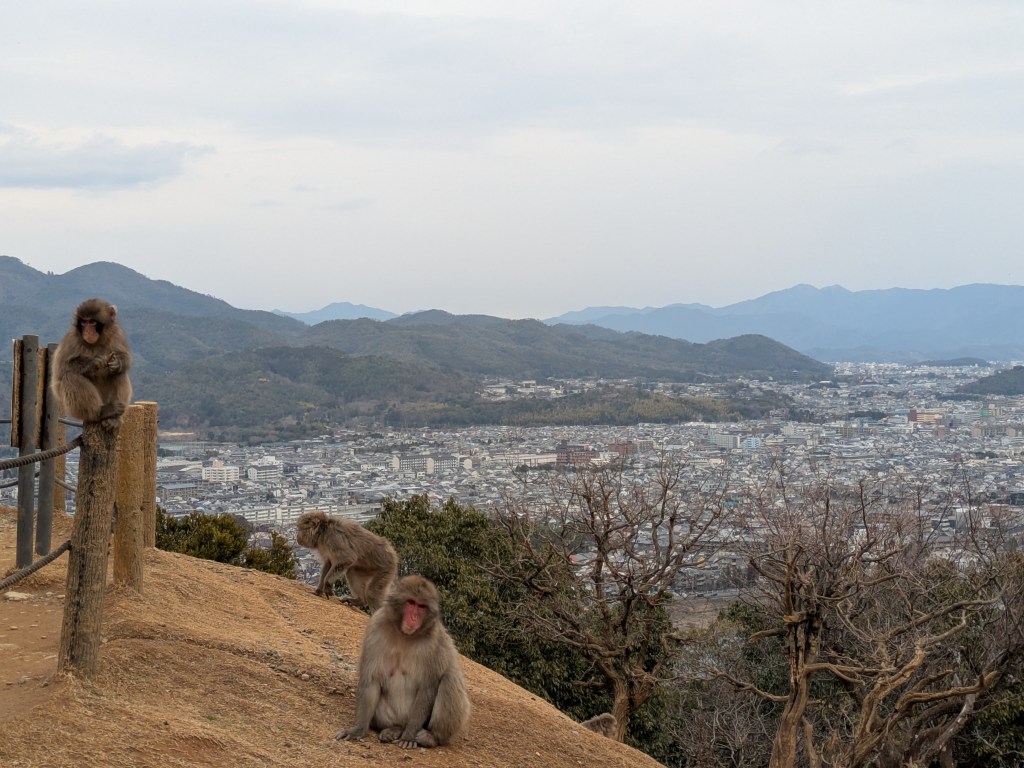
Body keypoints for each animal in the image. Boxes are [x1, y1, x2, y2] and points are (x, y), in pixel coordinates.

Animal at [50, 298, 133, 431]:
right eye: (84, 322)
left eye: (92, 322)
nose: (88, 331)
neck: (96, 342)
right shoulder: (71, 339)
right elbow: (60, 371)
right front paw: (93, 362)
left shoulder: (117, 334)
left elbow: (124, 356)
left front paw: (117, 363)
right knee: (71, 376)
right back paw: (102, 411)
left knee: (119, 373)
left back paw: (114, 417)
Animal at [336, 575, 470, 749]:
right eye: (411, 602)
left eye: (422, 606)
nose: (414, 617)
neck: (404, 634)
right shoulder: (375, 628)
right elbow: (371, 680)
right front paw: (358, 729)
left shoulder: (435, 642)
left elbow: (428, 686)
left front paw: (409, 735)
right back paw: (394, 730)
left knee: (449, 680)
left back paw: (430, 737)